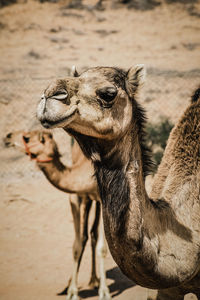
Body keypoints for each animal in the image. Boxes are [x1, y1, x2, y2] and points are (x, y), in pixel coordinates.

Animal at [3, 130, 111, 300]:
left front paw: (104, 291)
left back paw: (97, 281)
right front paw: (72, 291)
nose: (7, 136)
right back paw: (89, 281)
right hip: (88, 201)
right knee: (89, 234)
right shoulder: (75, 197)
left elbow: (102, 247)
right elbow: (77, 244)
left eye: (27, 138)